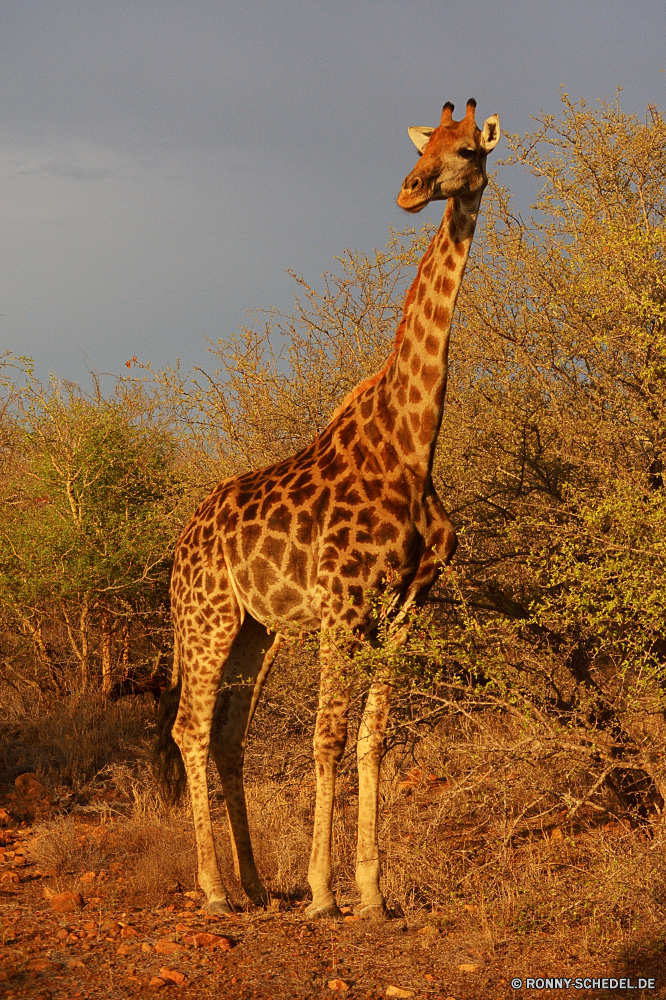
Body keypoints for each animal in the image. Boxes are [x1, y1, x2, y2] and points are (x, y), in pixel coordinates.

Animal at [156, 97, 498, 916]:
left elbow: (373, 736)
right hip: (207, 620)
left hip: (254, 631)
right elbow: (327, 737)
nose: (410, 190)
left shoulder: (406, 604)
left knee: (227, 735)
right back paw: (214, 890)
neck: (413, 444)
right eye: (423, 147)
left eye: (467, 151)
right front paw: (323, 893)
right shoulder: (343, 604)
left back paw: (252, 885)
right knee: (189, 729)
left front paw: (371, 892)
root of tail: (180, 547)